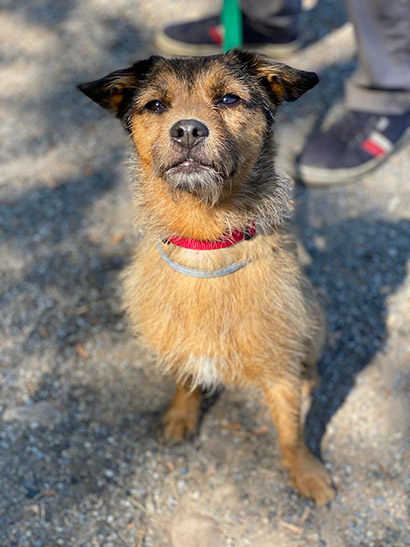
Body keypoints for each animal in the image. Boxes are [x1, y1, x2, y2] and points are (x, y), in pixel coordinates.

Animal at [79, 50, 334, 506]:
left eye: (229, 99)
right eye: (156, 105)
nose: (187, 130)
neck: (205, 239)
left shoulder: (279, 359)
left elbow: (290, 428)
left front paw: (305, 472)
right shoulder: (176, 335)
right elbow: (185, 376)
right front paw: (182, 415)